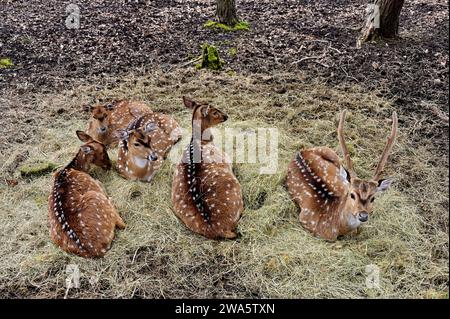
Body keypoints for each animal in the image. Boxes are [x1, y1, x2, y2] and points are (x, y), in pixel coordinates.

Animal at [171, 97, 243, 240]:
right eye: (214, 112)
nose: (226, 116)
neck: (202, 142)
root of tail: (217, 228)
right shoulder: (225, 158)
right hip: (235, 189)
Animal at [286, 111, 400, 241]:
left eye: (373, 198)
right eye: (352, 195)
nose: (363, 215)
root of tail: (301, 151)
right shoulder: (305, 219)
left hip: (331, 153)